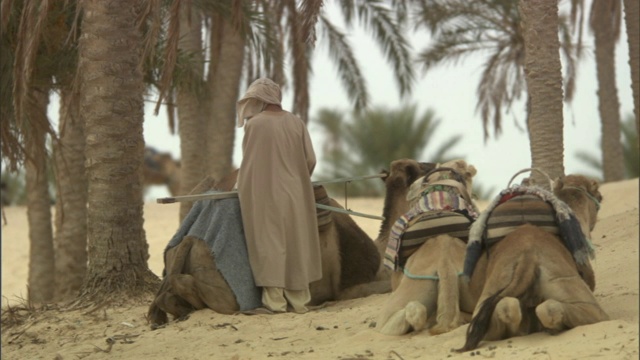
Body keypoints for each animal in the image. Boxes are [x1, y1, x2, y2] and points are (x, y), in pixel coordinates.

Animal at [458, 174, 608, 352]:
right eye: (599, 196)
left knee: (506, 307)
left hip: (494, 286)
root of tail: (527, 256)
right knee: (551, 309)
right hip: (571, 286)